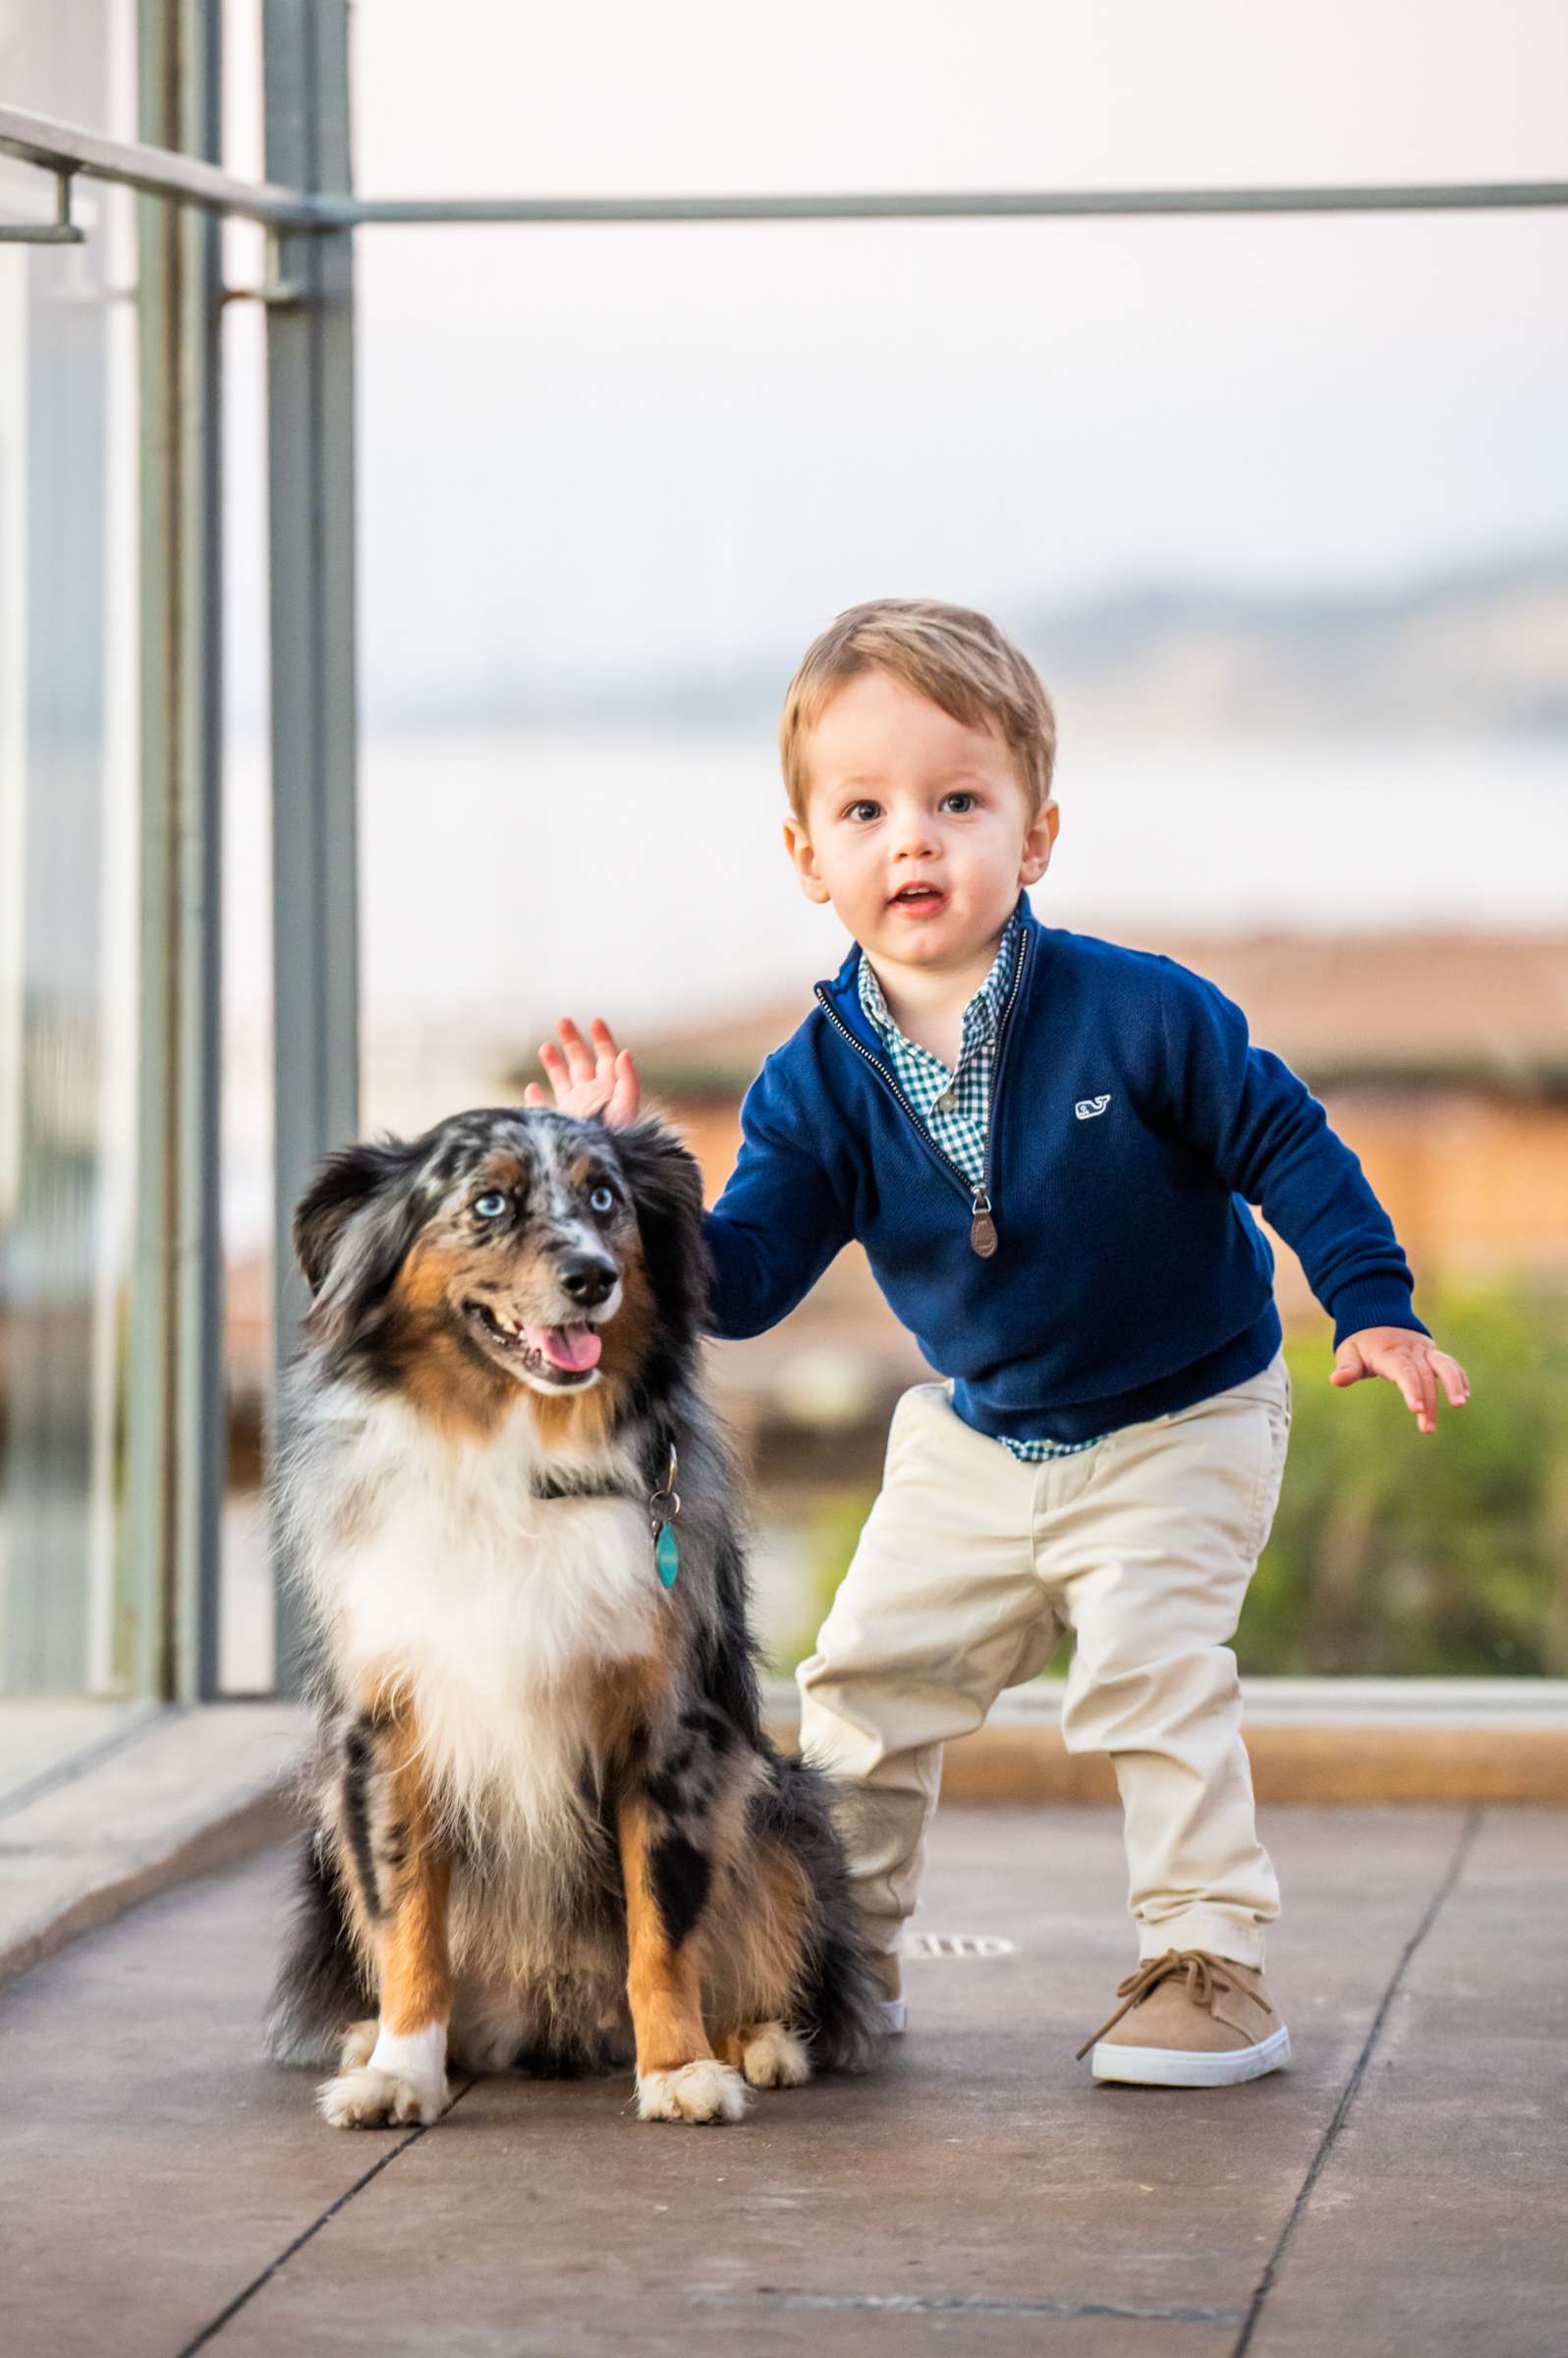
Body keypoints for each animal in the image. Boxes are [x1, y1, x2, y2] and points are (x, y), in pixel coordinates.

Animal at [262, 1112, 886, 2131]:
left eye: (605, 1199)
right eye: (489, 1202)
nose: (593, 1276)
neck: (520, 1465)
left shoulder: (672, 1732)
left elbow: (663, 1928)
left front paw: (677, 2072)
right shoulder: (388, 1732)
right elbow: (408, 1924)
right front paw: (400, 2070)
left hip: (784, 1810)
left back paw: (759, 2046)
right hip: (324, 1836)